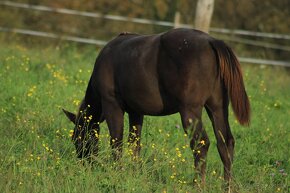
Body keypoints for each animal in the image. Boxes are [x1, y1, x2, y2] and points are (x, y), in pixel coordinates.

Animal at [64, 27, 250, 188]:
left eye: (77, 138)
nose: (84, 164)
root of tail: (212, 41)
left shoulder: (112, 105)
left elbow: (117, 142)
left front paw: (117, 172)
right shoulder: (136, 112)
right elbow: (134, 144)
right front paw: (135, 173)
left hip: (190, 111)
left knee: (201, 145)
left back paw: (198, 185)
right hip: (217, 108)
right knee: (226, 143)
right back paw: (227, 186)